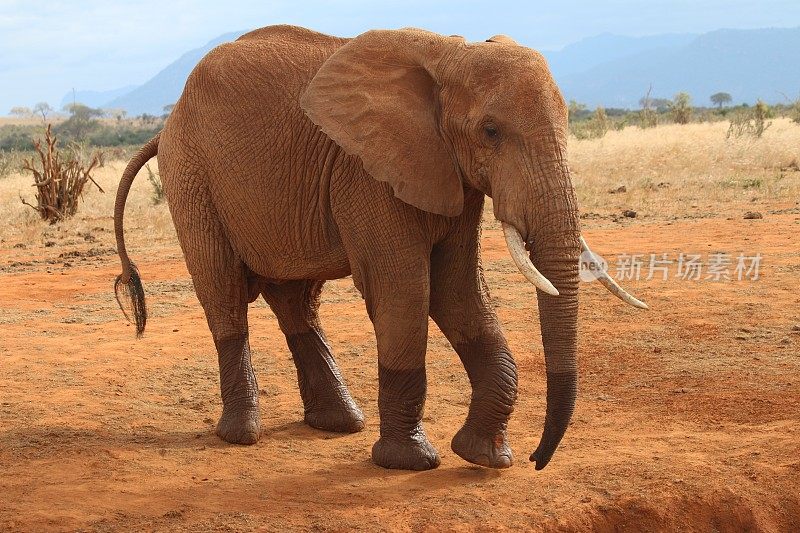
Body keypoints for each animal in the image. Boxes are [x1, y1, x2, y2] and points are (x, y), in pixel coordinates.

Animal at [112, 23, 644, 470]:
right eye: (491, 131)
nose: (538, 460)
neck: (450, 54)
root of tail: (164, 128)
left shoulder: (449, 174)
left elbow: (459, 293)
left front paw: (484, 458)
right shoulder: (366, 173)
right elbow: (405, 291)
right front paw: (411, 462)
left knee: (296, 301)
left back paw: (340, 423)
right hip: (191, 177)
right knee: (223, 290)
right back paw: (242, 435)